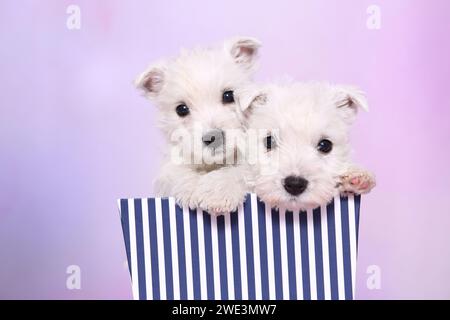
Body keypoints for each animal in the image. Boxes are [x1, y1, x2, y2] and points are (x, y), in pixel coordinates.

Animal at [134, 37, 260, 214]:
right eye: (181, 109)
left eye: (229, 95)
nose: (213, 138)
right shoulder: (171, 164)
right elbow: (176, 172)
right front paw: (193, 189)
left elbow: (238, 170)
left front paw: (218, 192)